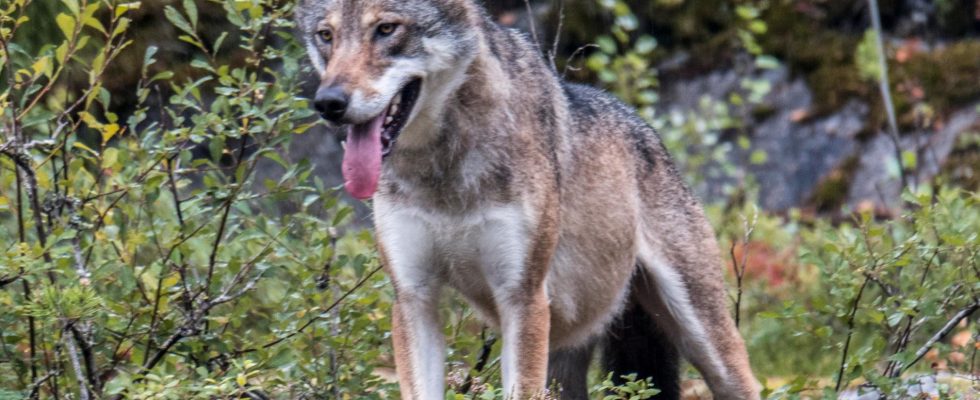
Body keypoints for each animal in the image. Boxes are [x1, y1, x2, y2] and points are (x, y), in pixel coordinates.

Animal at [294, 1, 760, 398]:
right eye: (326, 36)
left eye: (386, 29)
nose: (329, 103)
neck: (443, 173)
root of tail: (647, 129)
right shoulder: (414, 298)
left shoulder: (522, 298)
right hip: (565, 357)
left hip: (705, 338)